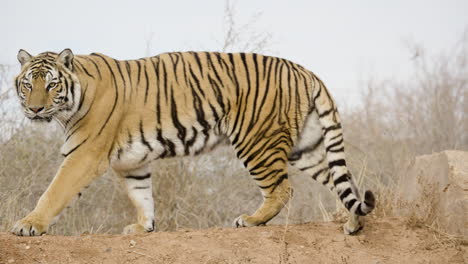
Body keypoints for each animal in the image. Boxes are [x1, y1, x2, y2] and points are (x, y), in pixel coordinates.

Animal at [11, 48, 374, 236]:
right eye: (28, 84)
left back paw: (251, 220)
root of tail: (304, 70)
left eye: (51, 84)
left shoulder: (84, 153)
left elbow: (55, 191)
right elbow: (142, 195)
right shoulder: (132, 162)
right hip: (306, 146)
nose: (34, 109)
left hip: (257, 141)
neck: (72, 101)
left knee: (282, 189)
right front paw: (143, 227)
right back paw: (353, 223)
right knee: (340, 180)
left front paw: (29, 225)